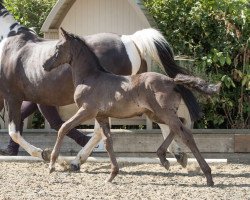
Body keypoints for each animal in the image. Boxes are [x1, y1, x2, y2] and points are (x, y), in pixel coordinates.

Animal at [43, 28, 221, 186]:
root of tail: (172, 81)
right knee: (179, 125)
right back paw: (164, 158)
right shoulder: (101, 115)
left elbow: (64, 128)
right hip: (156, 114)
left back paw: (208, 176)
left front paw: (51, 166)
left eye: (58, 47)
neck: (90, 78)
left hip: (163, 113)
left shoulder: (87, 110)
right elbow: (108, 142)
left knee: (186, 134)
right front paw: (112, 174)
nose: (45, 65)